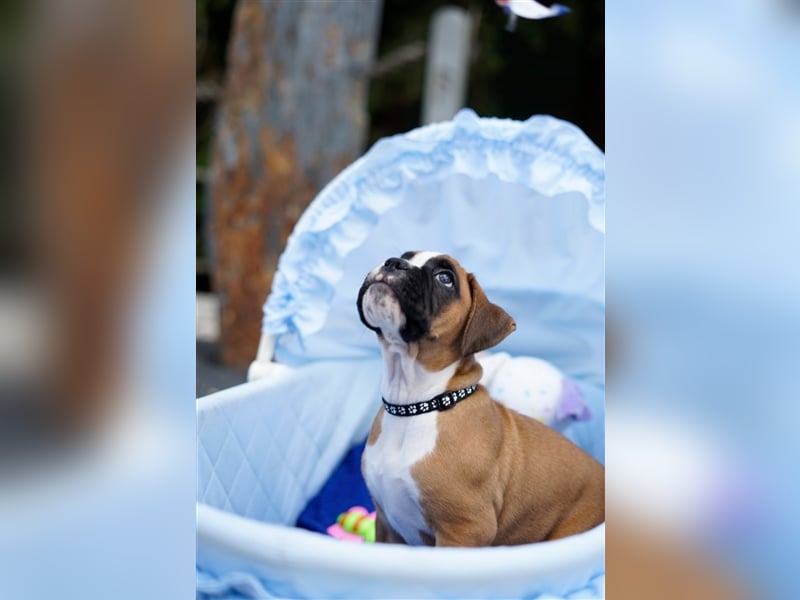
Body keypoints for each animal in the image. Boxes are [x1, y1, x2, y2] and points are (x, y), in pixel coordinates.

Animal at [360, 251, 604, 548]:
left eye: (445, 278)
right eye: (406, 256)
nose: (394, 262)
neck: (417, 406)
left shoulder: (465, 529)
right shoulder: (386, 527)